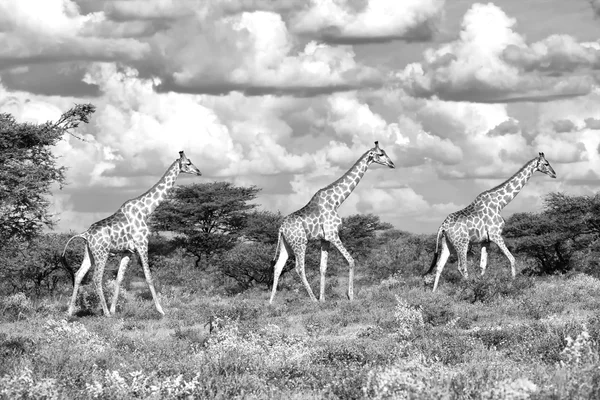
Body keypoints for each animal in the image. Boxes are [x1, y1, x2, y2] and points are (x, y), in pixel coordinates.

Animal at [61, 150, 203, 316]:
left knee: (78, 274)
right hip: (102, 253)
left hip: (89, 252)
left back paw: (70, 311)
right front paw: (161, 310)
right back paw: (105, 313)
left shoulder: (128, 251)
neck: (146, 210)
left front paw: (114, 309)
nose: (199, 172)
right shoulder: (142, 244)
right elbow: (148, 277)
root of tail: (86, 234)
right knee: (96, 278)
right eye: (188, 163)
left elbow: (119, 278)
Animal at [270, 141, 394, 304]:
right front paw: (350, 296)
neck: (336, 201)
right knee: (299, 268)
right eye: (381, 154)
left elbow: (323, 268)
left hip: (286, 244)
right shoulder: (333, 234)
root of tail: (281, 228)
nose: (392, 164)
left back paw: (271, 302)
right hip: (300, 242)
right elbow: (351, 261)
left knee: (277, 267)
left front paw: (323, 299)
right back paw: (313, 300)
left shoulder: (325, 239)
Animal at [424, 152, 556, 290]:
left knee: (439, 266)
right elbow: (512, 259)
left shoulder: (485, 241)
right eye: (546, 163)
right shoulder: (495, 235)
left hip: (447, 243)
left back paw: (434, 292)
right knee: (461, 267)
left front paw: (482, 284)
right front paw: (513, 283)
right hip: (462, 243)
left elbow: (483, 266)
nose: (554, 174)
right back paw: (468, 287)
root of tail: (442, 226)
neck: (500, 204)